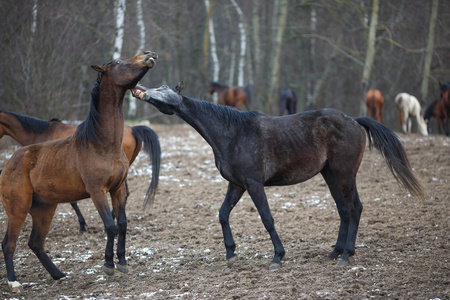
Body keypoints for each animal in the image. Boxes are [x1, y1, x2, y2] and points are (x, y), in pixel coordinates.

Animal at [131, 83, 426, 270]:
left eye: (164, 88)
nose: (139, 89)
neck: (232, 133)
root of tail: (354, 120)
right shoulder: (236, 184)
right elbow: (223, 214)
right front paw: (230, 254)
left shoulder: (253, 184)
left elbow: (267, 218)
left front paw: (277, 257)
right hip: (330, 174)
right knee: (343, 210)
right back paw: (335, 252)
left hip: (344, 174)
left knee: (355, 208)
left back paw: (347, 255)